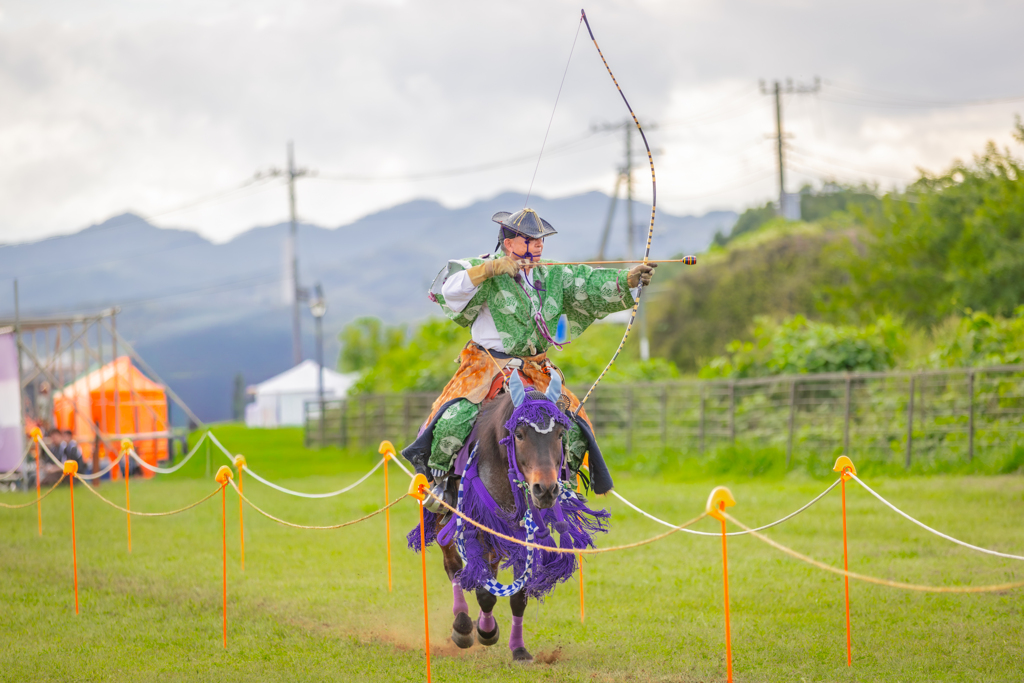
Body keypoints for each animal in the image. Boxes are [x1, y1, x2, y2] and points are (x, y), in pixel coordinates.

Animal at [408, 369, 609, 662]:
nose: (545, 489)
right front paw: (484, 631)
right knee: (454, 567)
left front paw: (518, 648)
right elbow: (483, 589)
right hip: (443, 516)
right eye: (520, 434)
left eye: (561, 434)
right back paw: (463, 625)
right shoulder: (477, 525)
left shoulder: (523, 534)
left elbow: (518, 595)